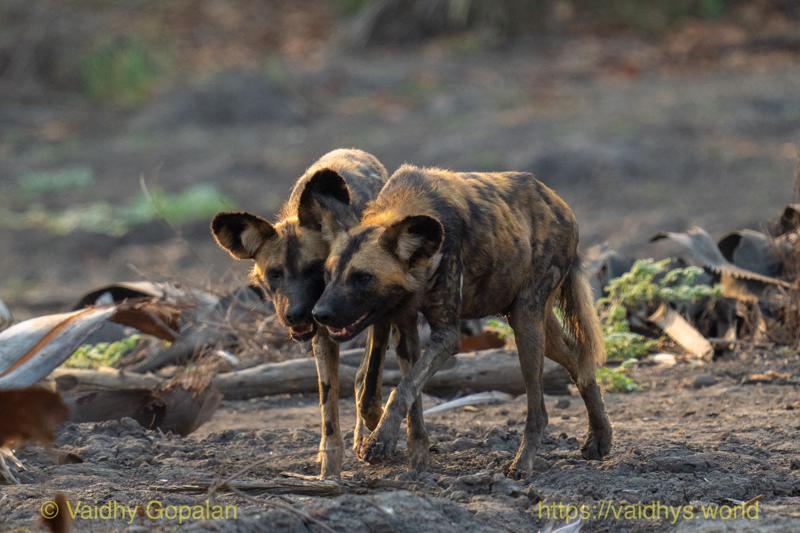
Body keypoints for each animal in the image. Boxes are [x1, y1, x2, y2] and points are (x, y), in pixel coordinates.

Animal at [210, 148, 391, 477]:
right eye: (275, 274)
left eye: (315, 270)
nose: (295, 314)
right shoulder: (322, 337)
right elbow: (327, 406)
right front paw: (329, 469)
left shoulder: (380, 318)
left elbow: (369, 388)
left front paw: (375, 430)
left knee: (364, 379)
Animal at [311, 164, 613, 475]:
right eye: (327, 274)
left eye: (362, 278)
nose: (319, 314)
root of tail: (558, 202)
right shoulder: (405, 325)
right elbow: (410, 392)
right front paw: (417, 458)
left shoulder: (447, 335)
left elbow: (402, 390)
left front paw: (380, 442)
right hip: (534, 324)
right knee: (579, 362)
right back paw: (600, 438)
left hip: (525, 321)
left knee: (538, 408)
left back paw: (522, 463)